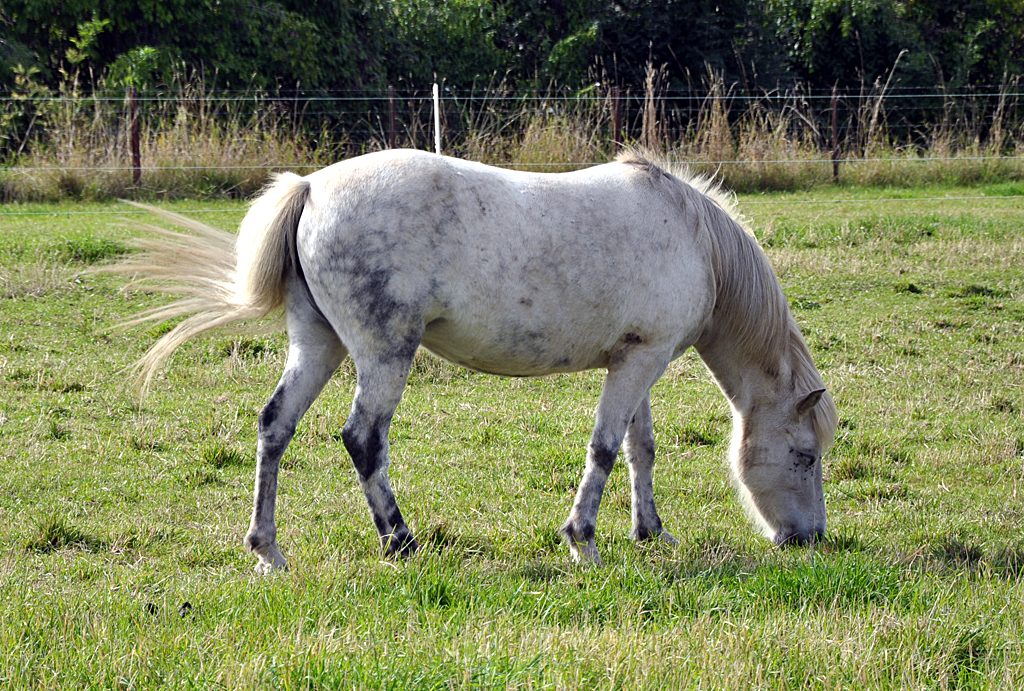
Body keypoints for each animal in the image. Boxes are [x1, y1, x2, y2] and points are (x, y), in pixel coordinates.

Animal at [112, 150, 835, 573]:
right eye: (804, 455)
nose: (808, 538)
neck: (692, 235)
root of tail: (311, 187)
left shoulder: (636, 360)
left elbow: (640, 448)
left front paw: (651, 531)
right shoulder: (641, 361)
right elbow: (604, 449)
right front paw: (582, 538)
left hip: (318, 343)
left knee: (274, 426)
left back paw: (269, 551)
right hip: (383, 353)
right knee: (363, 437)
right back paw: (400, 540)